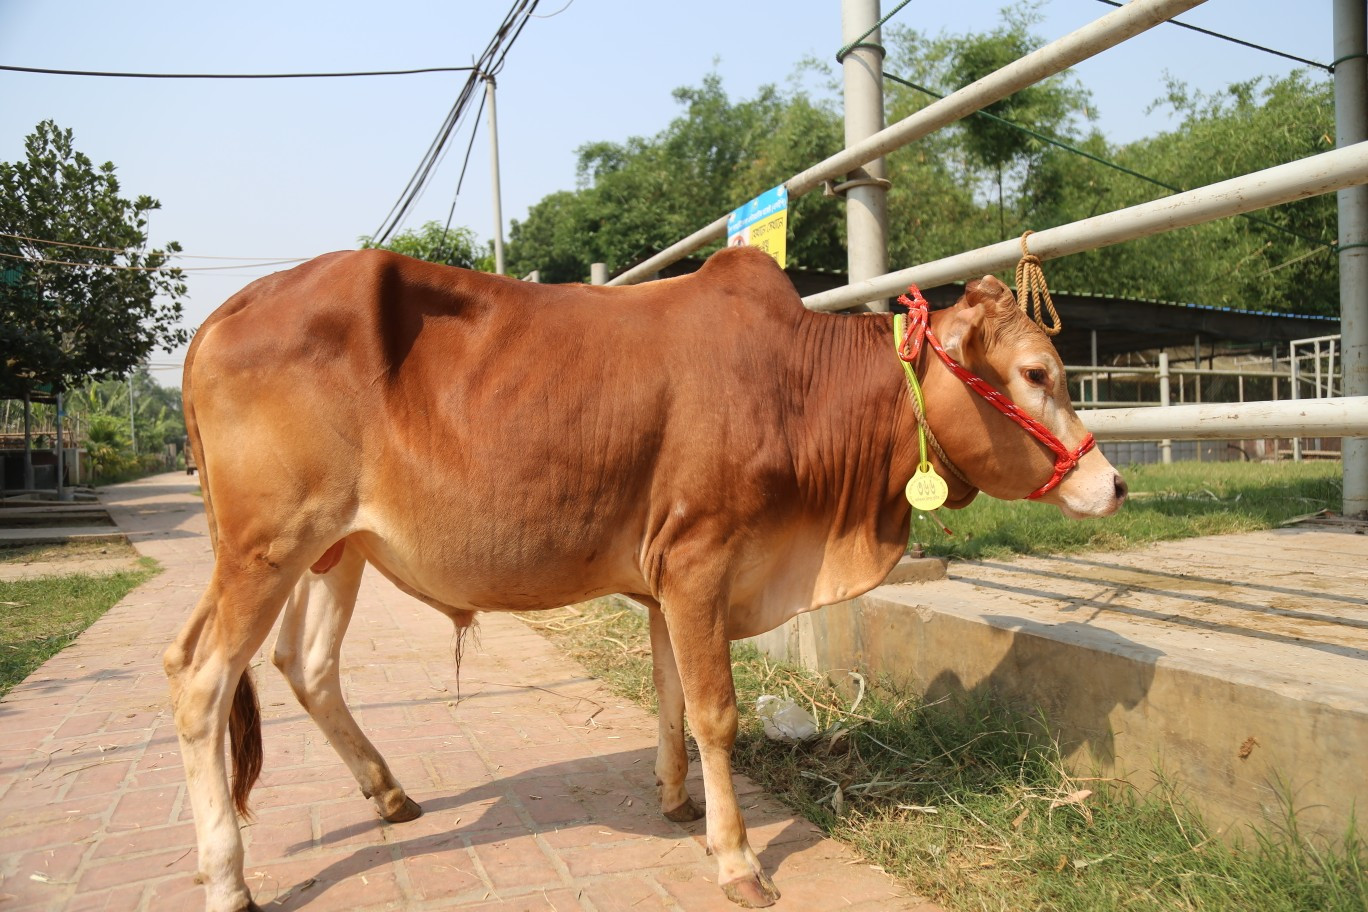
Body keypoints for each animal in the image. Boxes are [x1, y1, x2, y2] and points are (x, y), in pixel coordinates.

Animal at [167, 245, 1126, 911]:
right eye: (1036, 373)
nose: (1113, 483)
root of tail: (221, 317)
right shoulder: (700, 558)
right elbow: (716, 713)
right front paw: (737, 859)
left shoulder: (670, 575)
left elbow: (671, 693)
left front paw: (676, 803)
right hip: (265, 548)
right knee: (199, 679)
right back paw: (228, 880)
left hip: (336, 551)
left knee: (306, 666)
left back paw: (391, 793)